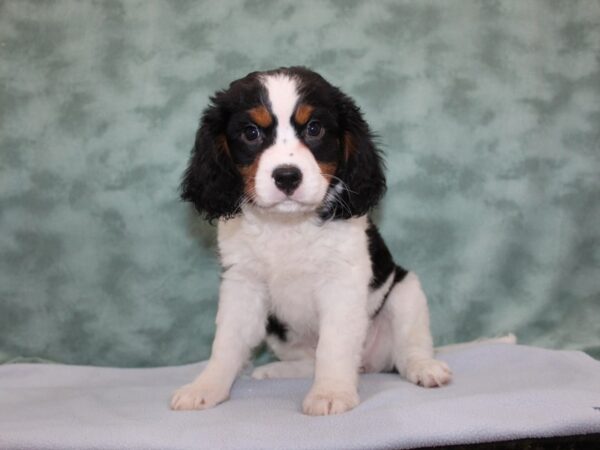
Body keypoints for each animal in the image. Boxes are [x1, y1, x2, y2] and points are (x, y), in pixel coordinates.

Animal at [169, 66, 450, 414]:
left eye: (314, 128)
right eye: (251, 133)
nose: (287, 176)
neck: (287, 224)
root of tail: (369, 364)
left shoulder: (341, 282)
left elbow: (334, 344)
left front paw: (330, 392)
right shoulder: (243, 284)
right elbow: (227, 341)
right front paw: (207, 386)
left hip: (405, 291)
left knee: (409, 347)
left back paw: (424, 368)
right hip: (279, 332)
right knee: (307, 360)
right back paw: (274, 371)